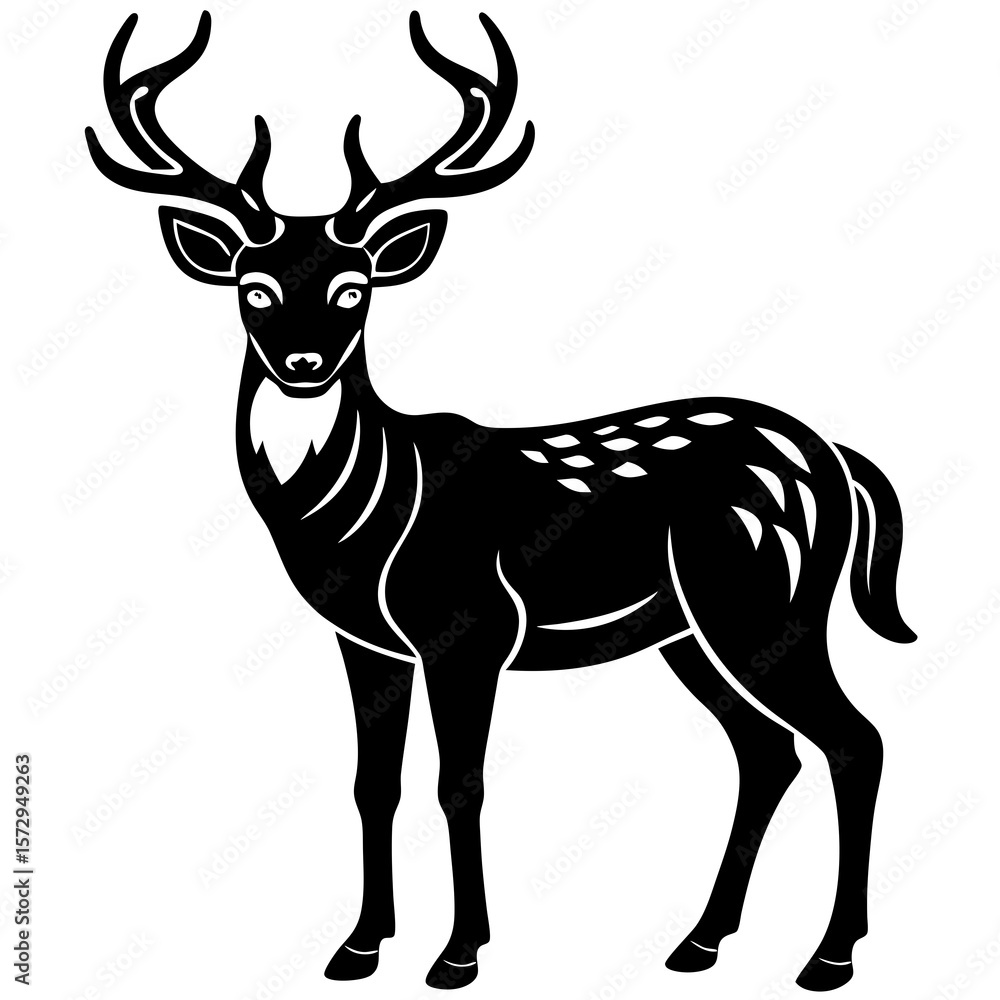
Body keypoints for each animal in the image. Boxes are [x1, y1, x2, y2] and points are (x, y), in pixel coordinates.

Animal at [86, 9, 916, 992]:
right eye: (256, 288)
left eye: (353, 287)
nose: (303, 363)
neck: (366, 513)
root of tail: (837, 460)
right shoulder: (366, 640)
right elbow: (374, 783)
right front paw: (357, 946)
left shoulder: (470, 623)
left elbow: (461, 784)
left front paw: (458, 954)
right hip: (694, 629)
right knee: (768, 751)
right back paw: (699, 942)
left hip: (767, 600)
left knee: (854, 739)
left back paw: (828, 957)